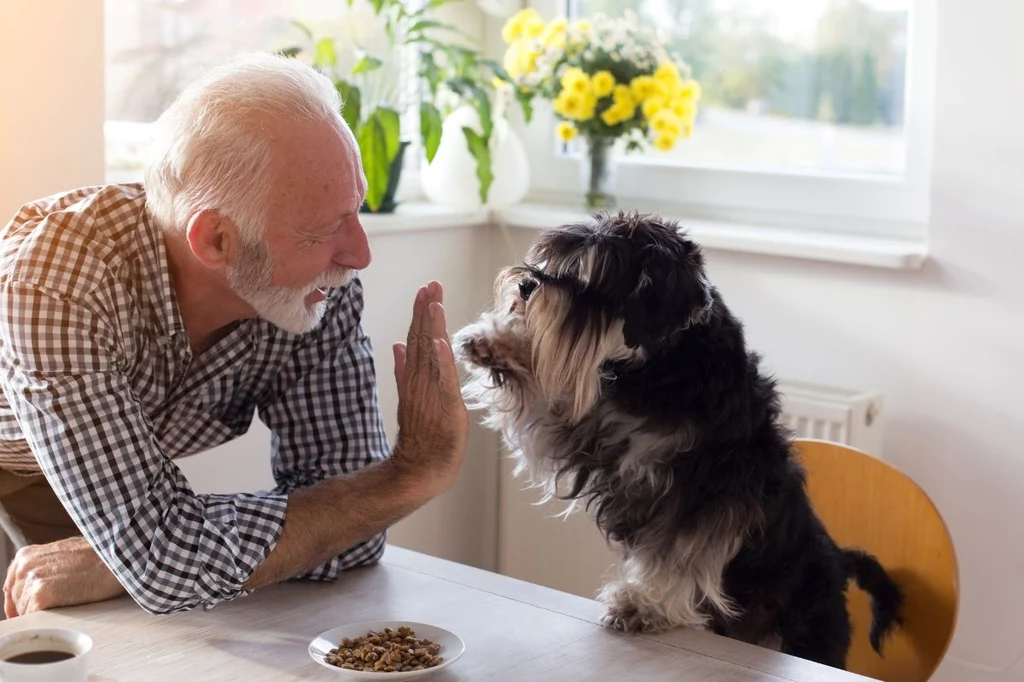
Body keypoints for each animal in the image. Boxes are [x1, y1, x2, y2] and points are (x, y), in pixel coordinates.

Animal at [452, 209, 901, 667]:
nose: (526, 285)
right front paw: (494, 342)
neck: (663, 366)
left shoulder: (706, 493)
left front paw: (643, 605)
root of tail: (838, 561)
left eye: (594, 278)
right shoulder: (590, 433)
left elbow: (680, 554)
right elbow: (546, 398)